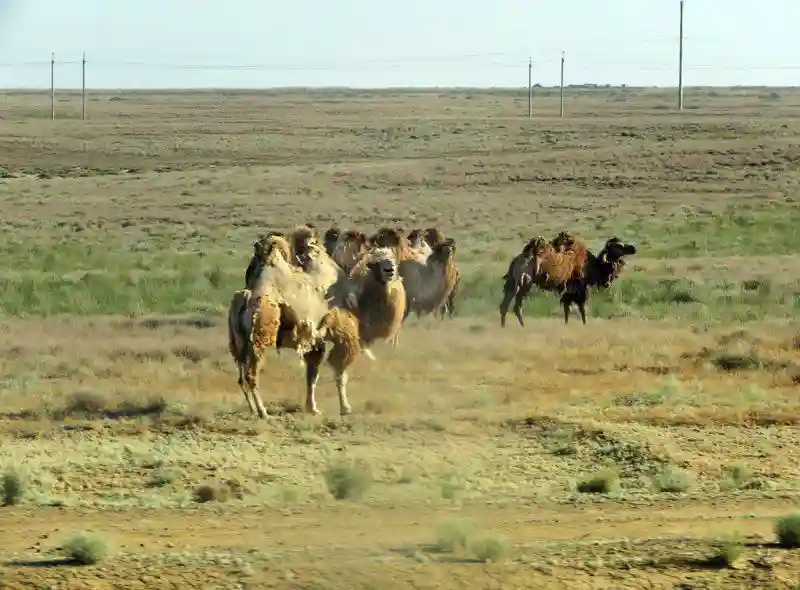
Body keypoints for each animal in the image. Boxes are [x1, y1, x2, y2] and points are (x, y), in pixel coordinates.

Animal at [227, 236, 330, 420]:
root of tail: (246, 298)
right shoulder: (315, 339)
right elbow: (312, 375)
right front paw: (313, 409)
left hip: (238, 342)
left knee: (241, 377)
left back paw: (253, 410)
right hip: (260, 339)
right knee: (251, 375)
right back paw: (263, 412)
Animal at [304, 247, 410, 418]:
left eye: (393, 257)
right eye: (374, 263)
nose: (390, 268)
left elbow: (315, 373)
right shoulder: (346, 342)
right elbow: (340, 375)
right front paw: (345, 407)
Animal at [500, 232, 636, 328]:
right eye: (619, 246)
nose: (633, 248)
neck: (591, 266)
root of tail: (517, 260)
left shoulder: (568, 291)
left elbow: (567, 309)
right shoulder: (579, 288)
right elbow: (581, 309)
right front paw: (585, 325)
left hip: (513, 281)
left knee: (505, 304)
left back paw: (504, 327)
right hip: (525, 282)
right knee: (516, 306)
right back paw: (523, 327)